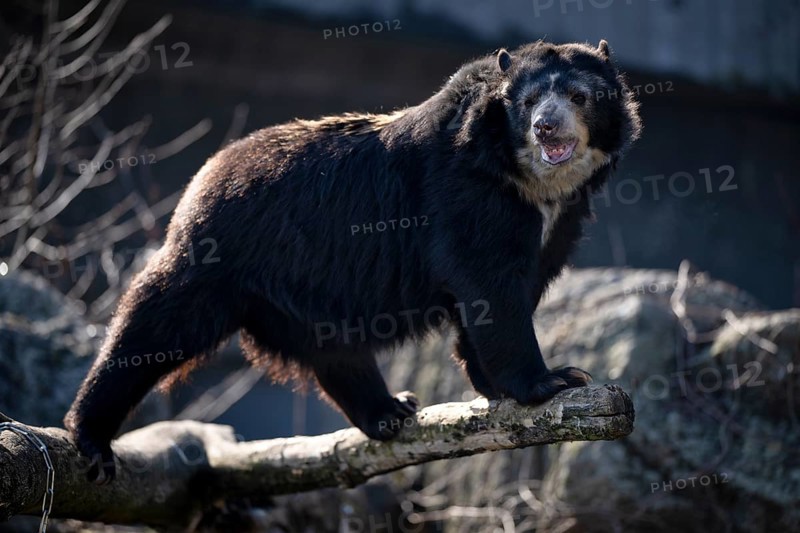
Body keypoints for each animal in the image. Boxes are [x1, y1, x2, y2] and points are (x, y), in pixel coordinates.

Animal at [64, 39, 641, 484]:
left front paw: (496, 384)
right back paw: (91, 437)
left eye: (578, 96)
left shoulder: (559, 220)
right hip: (219, 256)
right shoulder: (467, 194)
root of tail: (202, 179)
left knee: (336, 349)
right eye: (527, 102)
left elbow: (502, 291)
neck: (530, 181)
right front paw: (553, 380)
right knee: (156, 326)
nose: (547, 128)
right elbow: (491, 287)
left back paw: (389, 411)